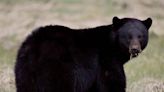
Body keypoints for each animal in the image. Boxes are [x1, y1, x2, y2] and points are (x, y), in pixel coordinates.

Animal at [14, 16, 152, 92]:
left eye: (140, 36)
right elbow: (112, 82)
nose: (135, 49)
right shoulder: (105, 59)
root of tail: (36, 47)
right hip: (58, 68)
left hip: (24, 70)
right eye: (128, 36)